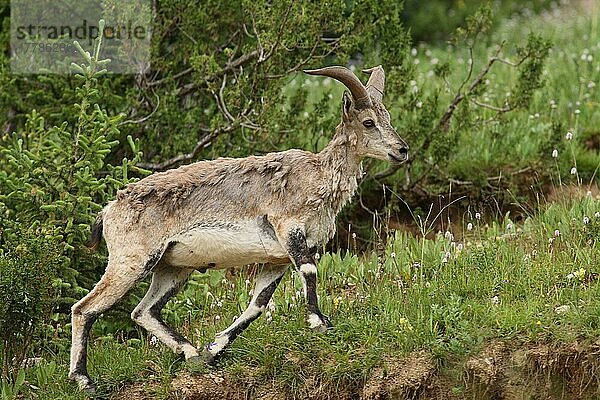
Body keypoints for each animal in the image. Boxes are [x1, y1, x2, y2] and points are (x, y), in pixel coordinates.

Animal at [69, 65, 408, 390]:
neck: (318, 177)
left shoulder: (277, 259)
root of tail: (109, 210)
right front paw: (319, 321)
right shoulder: (289, 229)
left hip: (172, 268)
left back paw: (192, 354)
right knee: (84, 309)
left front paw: (215, 347)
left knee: (144, 311)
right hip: (131, 261)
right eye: (368, 122)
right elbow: (309, 271)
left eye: (388, 118)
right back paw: (84, 380)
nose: (402, 150)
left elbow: (257, 304)